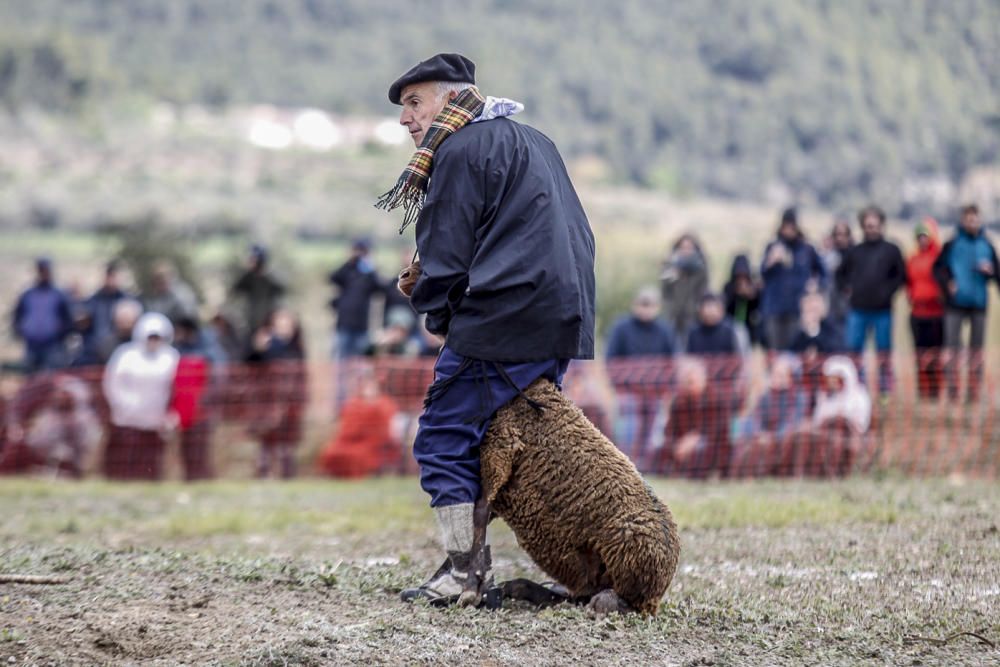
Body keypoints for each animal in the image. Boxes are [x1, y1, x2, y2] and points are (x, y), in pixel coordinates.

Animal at [478, 376, 680, 616]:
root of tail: (656, 595)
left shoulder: (502, 442)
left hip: (631, 554)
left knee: (615, 600)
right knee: (577, 594)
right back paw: (517, 588)